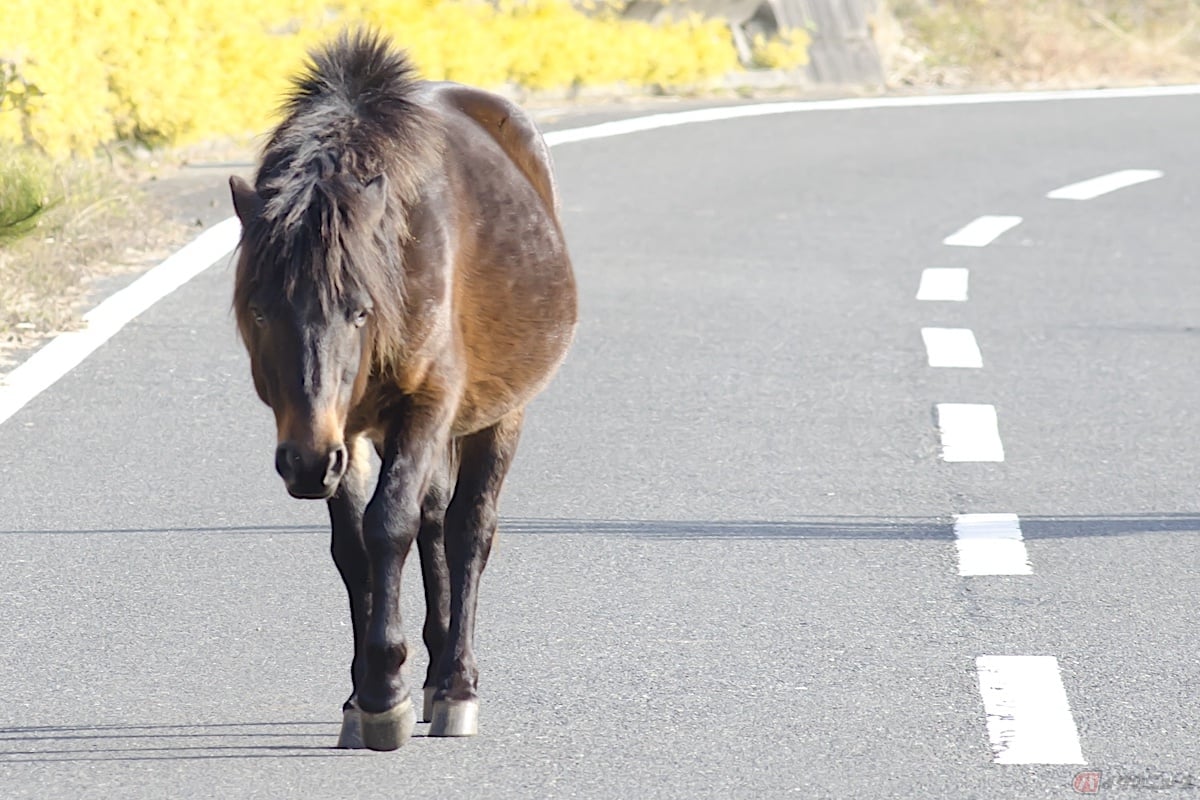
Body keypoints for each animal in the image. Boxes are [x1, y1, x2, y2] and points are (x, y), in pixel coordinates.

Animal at [228, 30, 577, 750]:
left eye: (360, 311)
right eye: (261, 311)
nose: (304, 462)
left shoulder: (426, 405)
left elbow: (388, 524)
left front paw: (385, 691)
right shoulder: (346, 432)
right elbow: (356, 548)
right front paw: (361, 694)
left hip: (500, 413)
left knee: (469, 528)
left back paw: (457, 686)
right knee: (437, 520)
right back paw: (436, 671)